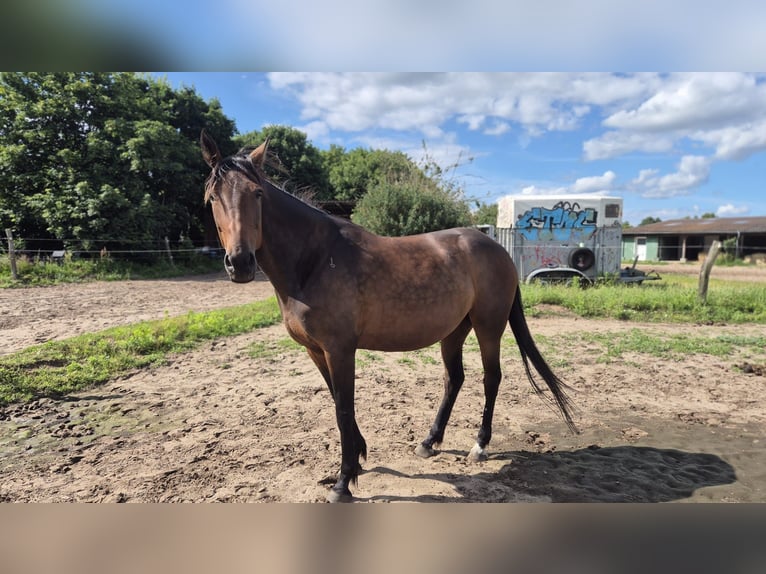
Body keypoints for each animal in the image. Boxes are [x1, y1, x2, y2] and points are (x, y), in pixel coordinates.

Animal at [200, 131, 577, 502]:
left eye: (257, 193)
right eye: (212, 198)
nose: (240, 263)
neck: (316, 261)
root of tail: (497, 249)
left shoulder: (340, 350)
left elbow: (344, 408)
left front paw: (344, 481)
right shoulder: (316, 350)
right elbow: (338, 402)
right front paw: (357, 460)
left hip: (488, 327)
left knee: (491, 378)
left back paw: (479, 446)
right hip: (454, 330)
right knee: (454, 379)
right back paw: (429, 442)